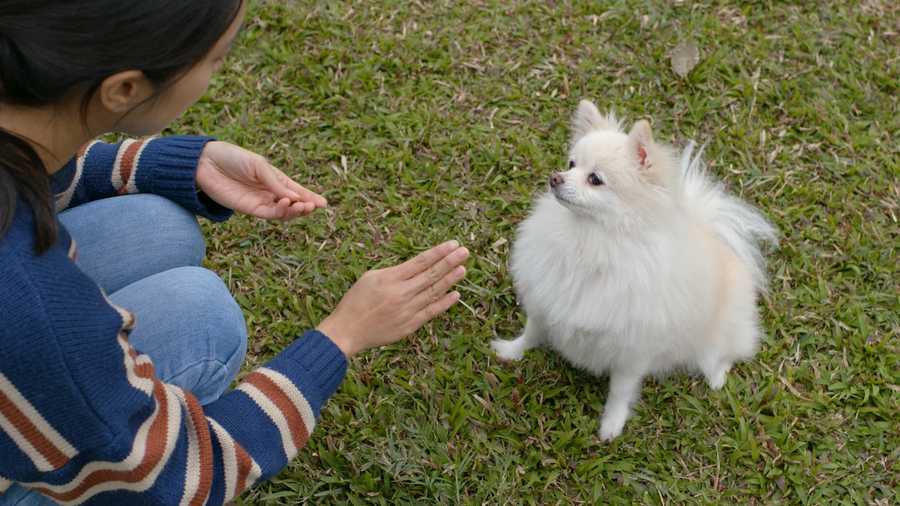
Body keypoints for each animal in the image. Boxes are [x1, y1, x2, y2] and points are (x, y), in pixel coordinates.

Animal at [488, 99, 776, 438]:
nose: (555, 178)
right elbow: (531, 332)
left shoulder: (632, 349)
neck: (592, 238)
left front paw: (611, 425)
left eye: (595, 179)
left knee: (723, 355)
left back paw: (716, 376)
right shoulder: (546, 301)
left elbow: (620, 391)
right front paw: (510, 351)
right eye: (571, 164)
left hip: (719, 336)